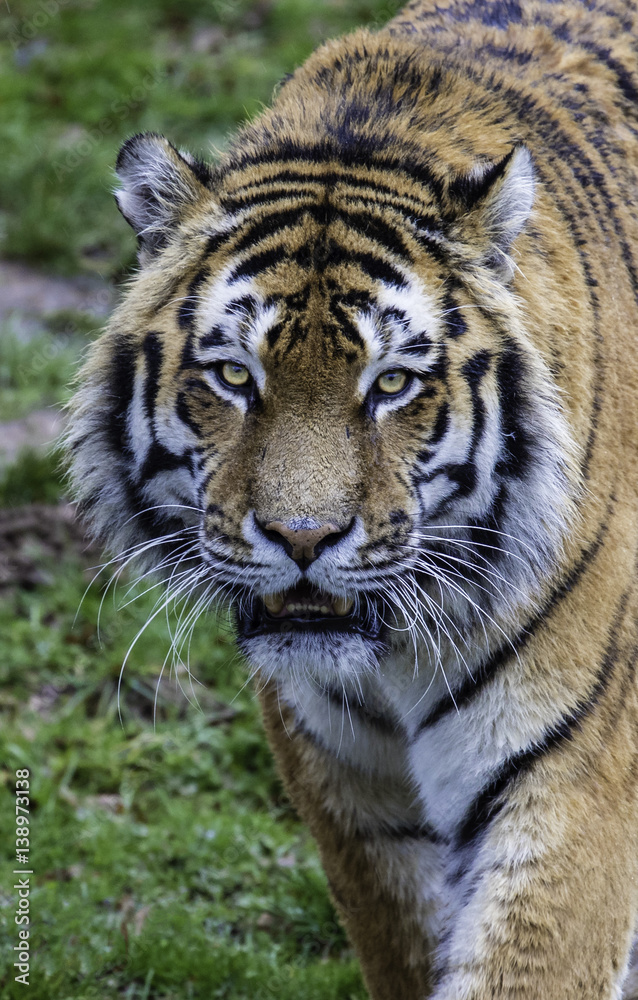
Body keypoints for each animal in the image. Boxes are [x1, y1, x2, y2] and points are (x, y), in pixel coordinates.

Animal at [66, 0, 638, 995]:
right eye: (234, 376)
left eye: (392, 384)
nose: (303, 538)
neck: (393, 658)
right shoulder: (349, 794)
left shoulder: (576, 777)